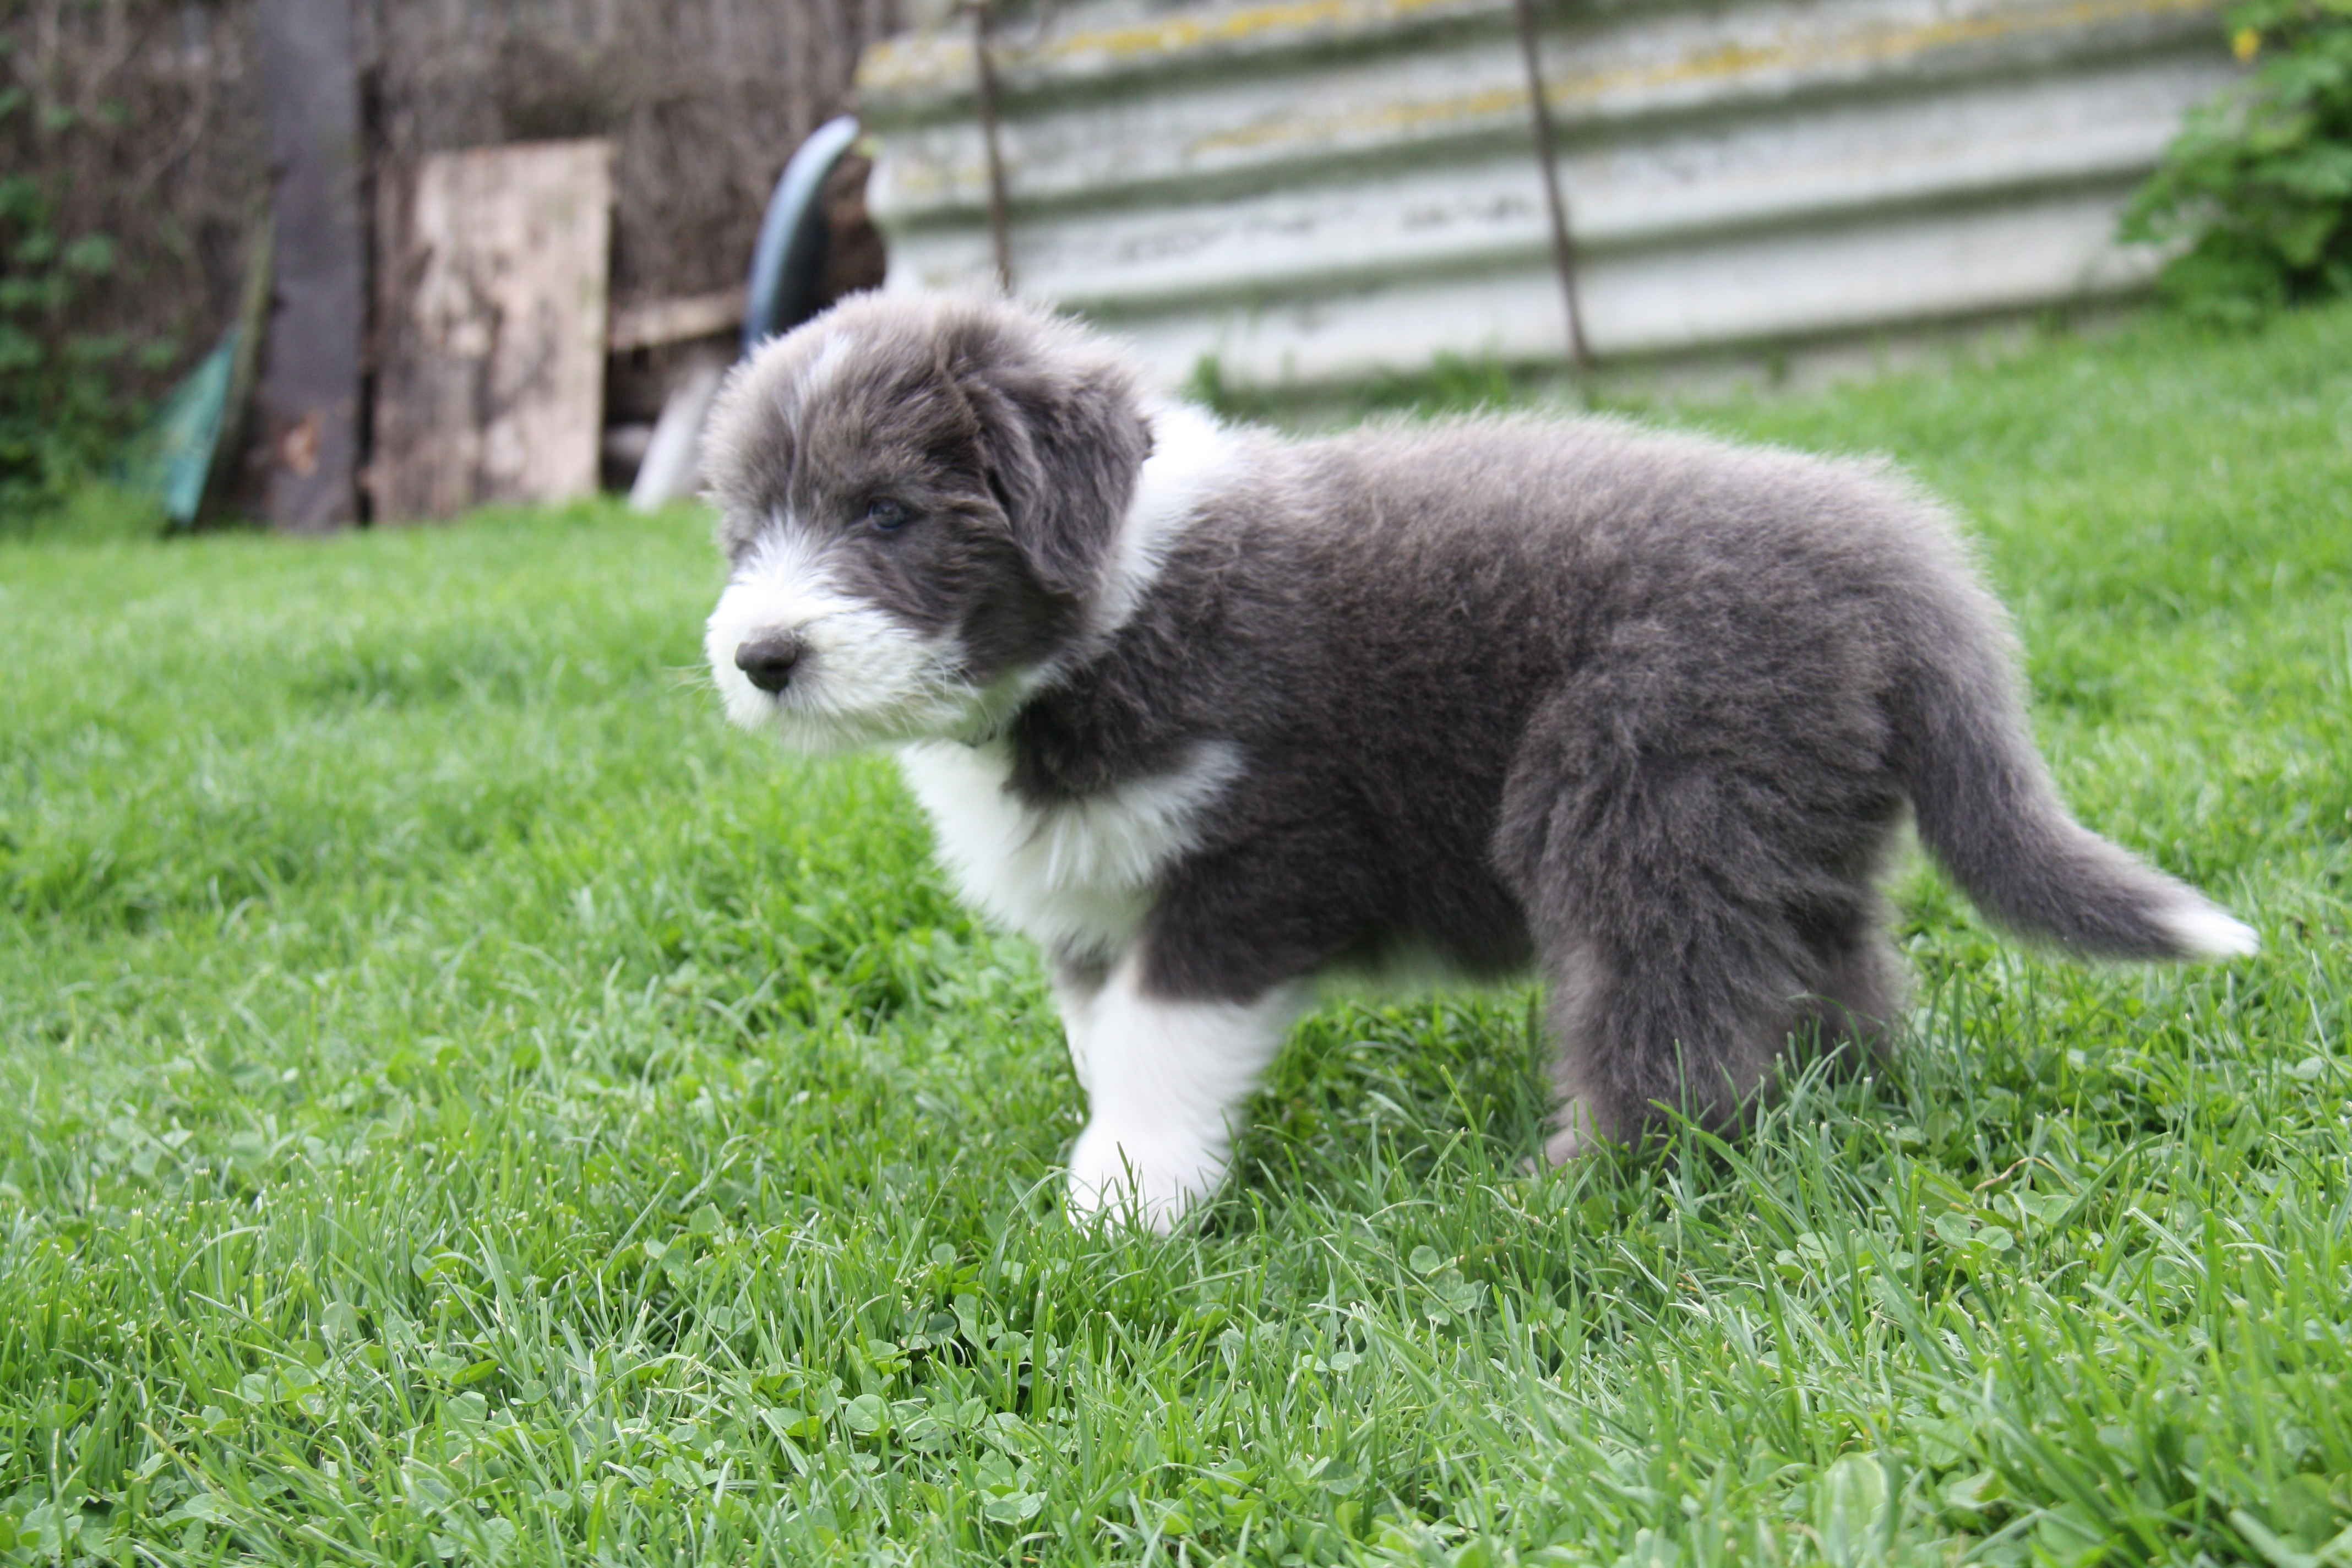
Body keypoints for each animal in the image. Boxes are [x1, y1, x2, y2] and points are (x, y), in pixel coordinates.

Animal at [699, 293, 2256, 1229]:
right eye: (741, 529)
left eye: (888, 512)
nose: (759, 655)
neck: (1116, 605)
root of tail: (1890, 549)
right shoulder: (1097, 896)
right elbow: (1104, 1035)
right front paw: (1131, 1170)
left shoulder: (1259, 855)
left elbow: (1158, 1037)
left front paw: (1127, 1206)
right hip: (1784, 814)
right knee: (1828, 974)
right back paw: (1842, 1098)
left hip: (1641, 785)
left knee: (1668, 1015)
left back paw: (1569, 1189)